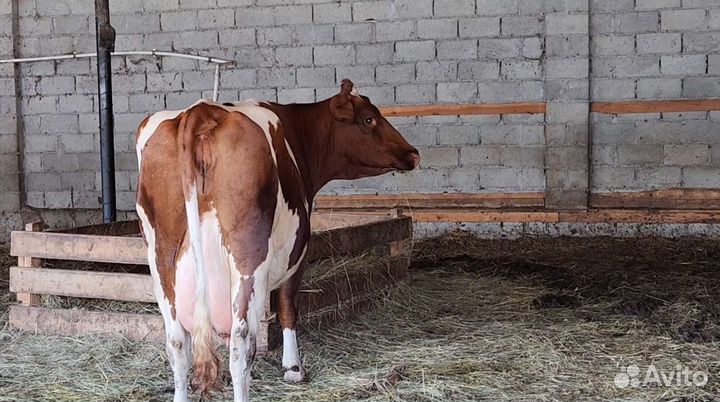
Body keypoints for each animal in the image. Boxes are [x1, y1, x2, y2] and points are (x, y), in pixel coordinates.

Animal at [134, 79, 419, 402]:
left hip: (160, 258)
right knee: (240, 344)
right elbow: (287, 306)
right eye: (369, 119)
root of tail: (200, 111)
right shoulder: (299, 251)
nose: (413, 153)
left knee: (178, 342)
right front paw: (294, 369)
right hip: (249, 256)